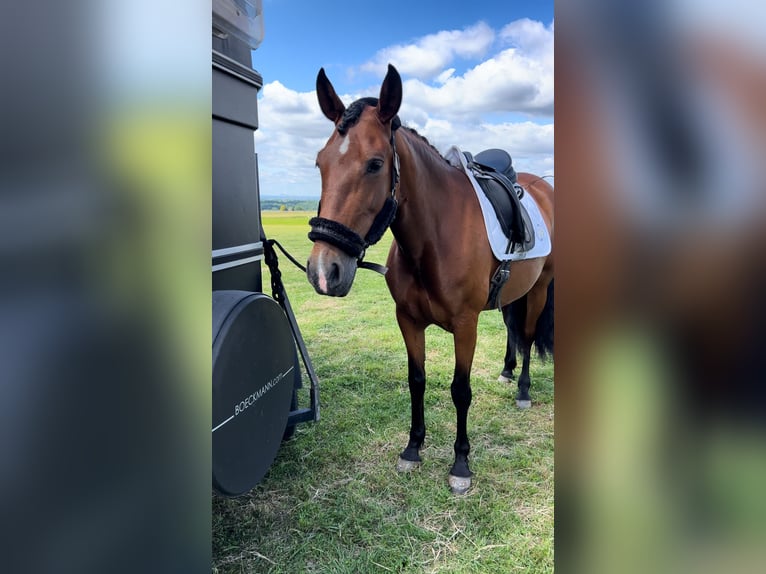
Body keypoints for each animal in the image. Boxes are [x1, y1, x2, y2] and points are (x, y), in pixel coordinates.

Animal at [306, 64, 554, 493]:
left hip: (540, 287)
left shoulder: (466, 326)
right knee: (514, 330)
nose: (324, 271)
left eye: (375, 164)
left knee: (528, 331)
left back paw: (523, 388)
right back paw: (507, 371)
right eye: (321, 163)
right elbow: (417, 379)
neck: (434, 237)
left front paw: (461, 464)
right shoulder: (407, 320)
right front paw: (412, 448)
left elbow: (460, 390)